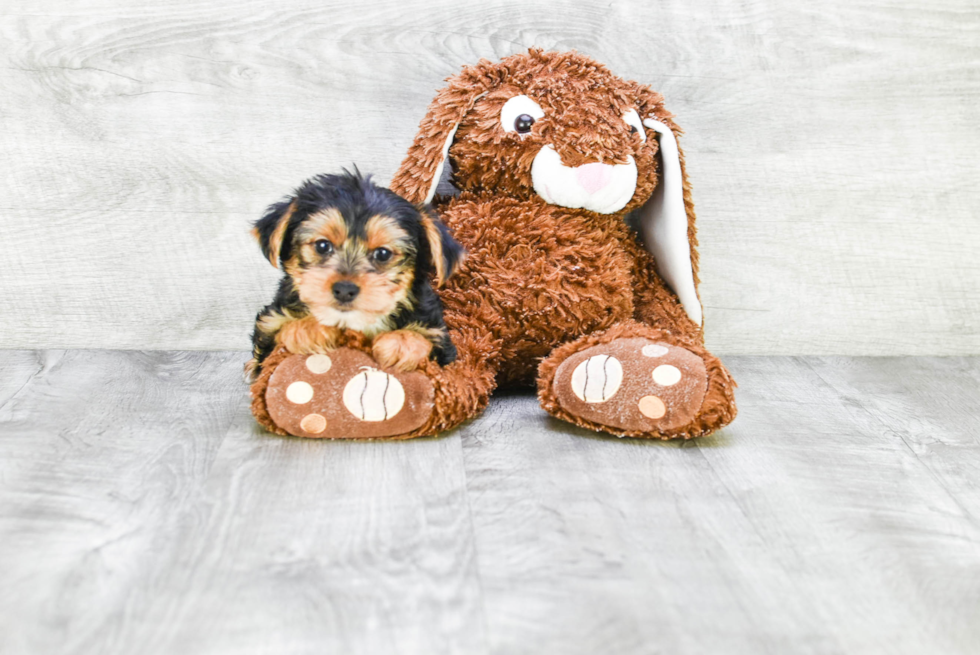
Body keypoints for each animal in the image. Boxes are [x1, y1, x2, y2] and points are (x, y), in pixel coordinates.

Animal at [251, 172, 468, 382]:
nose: (345, 290)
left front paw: (400, 342)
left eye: (383, 254)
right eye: (322, 245)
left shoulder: (439, 337)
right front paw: (308, 328)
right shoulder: (271, 318)